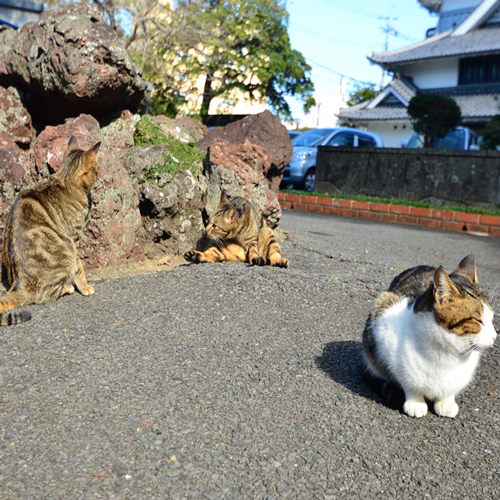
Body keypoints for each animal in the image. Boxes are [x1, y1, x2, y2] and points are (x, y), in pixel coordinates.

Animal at [0, 135, 101, 326]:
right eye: (97, 167)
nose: (100, 171)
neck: (66, 179)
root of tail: (18, 284)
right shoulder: (73, 238)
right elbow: (79, 267)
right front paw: (84, 287)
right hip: (65, 250)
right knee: (44, 296)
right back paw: (67, 287)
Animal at [364, 254, 496, 418]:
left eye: (492, 318)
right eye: (477, 320)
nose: (495, 336)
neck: (447, 354)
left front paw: (446, 401)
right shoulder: (383, 327)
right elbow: (407, 381)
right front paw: (415, 401)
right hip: (382, 303)